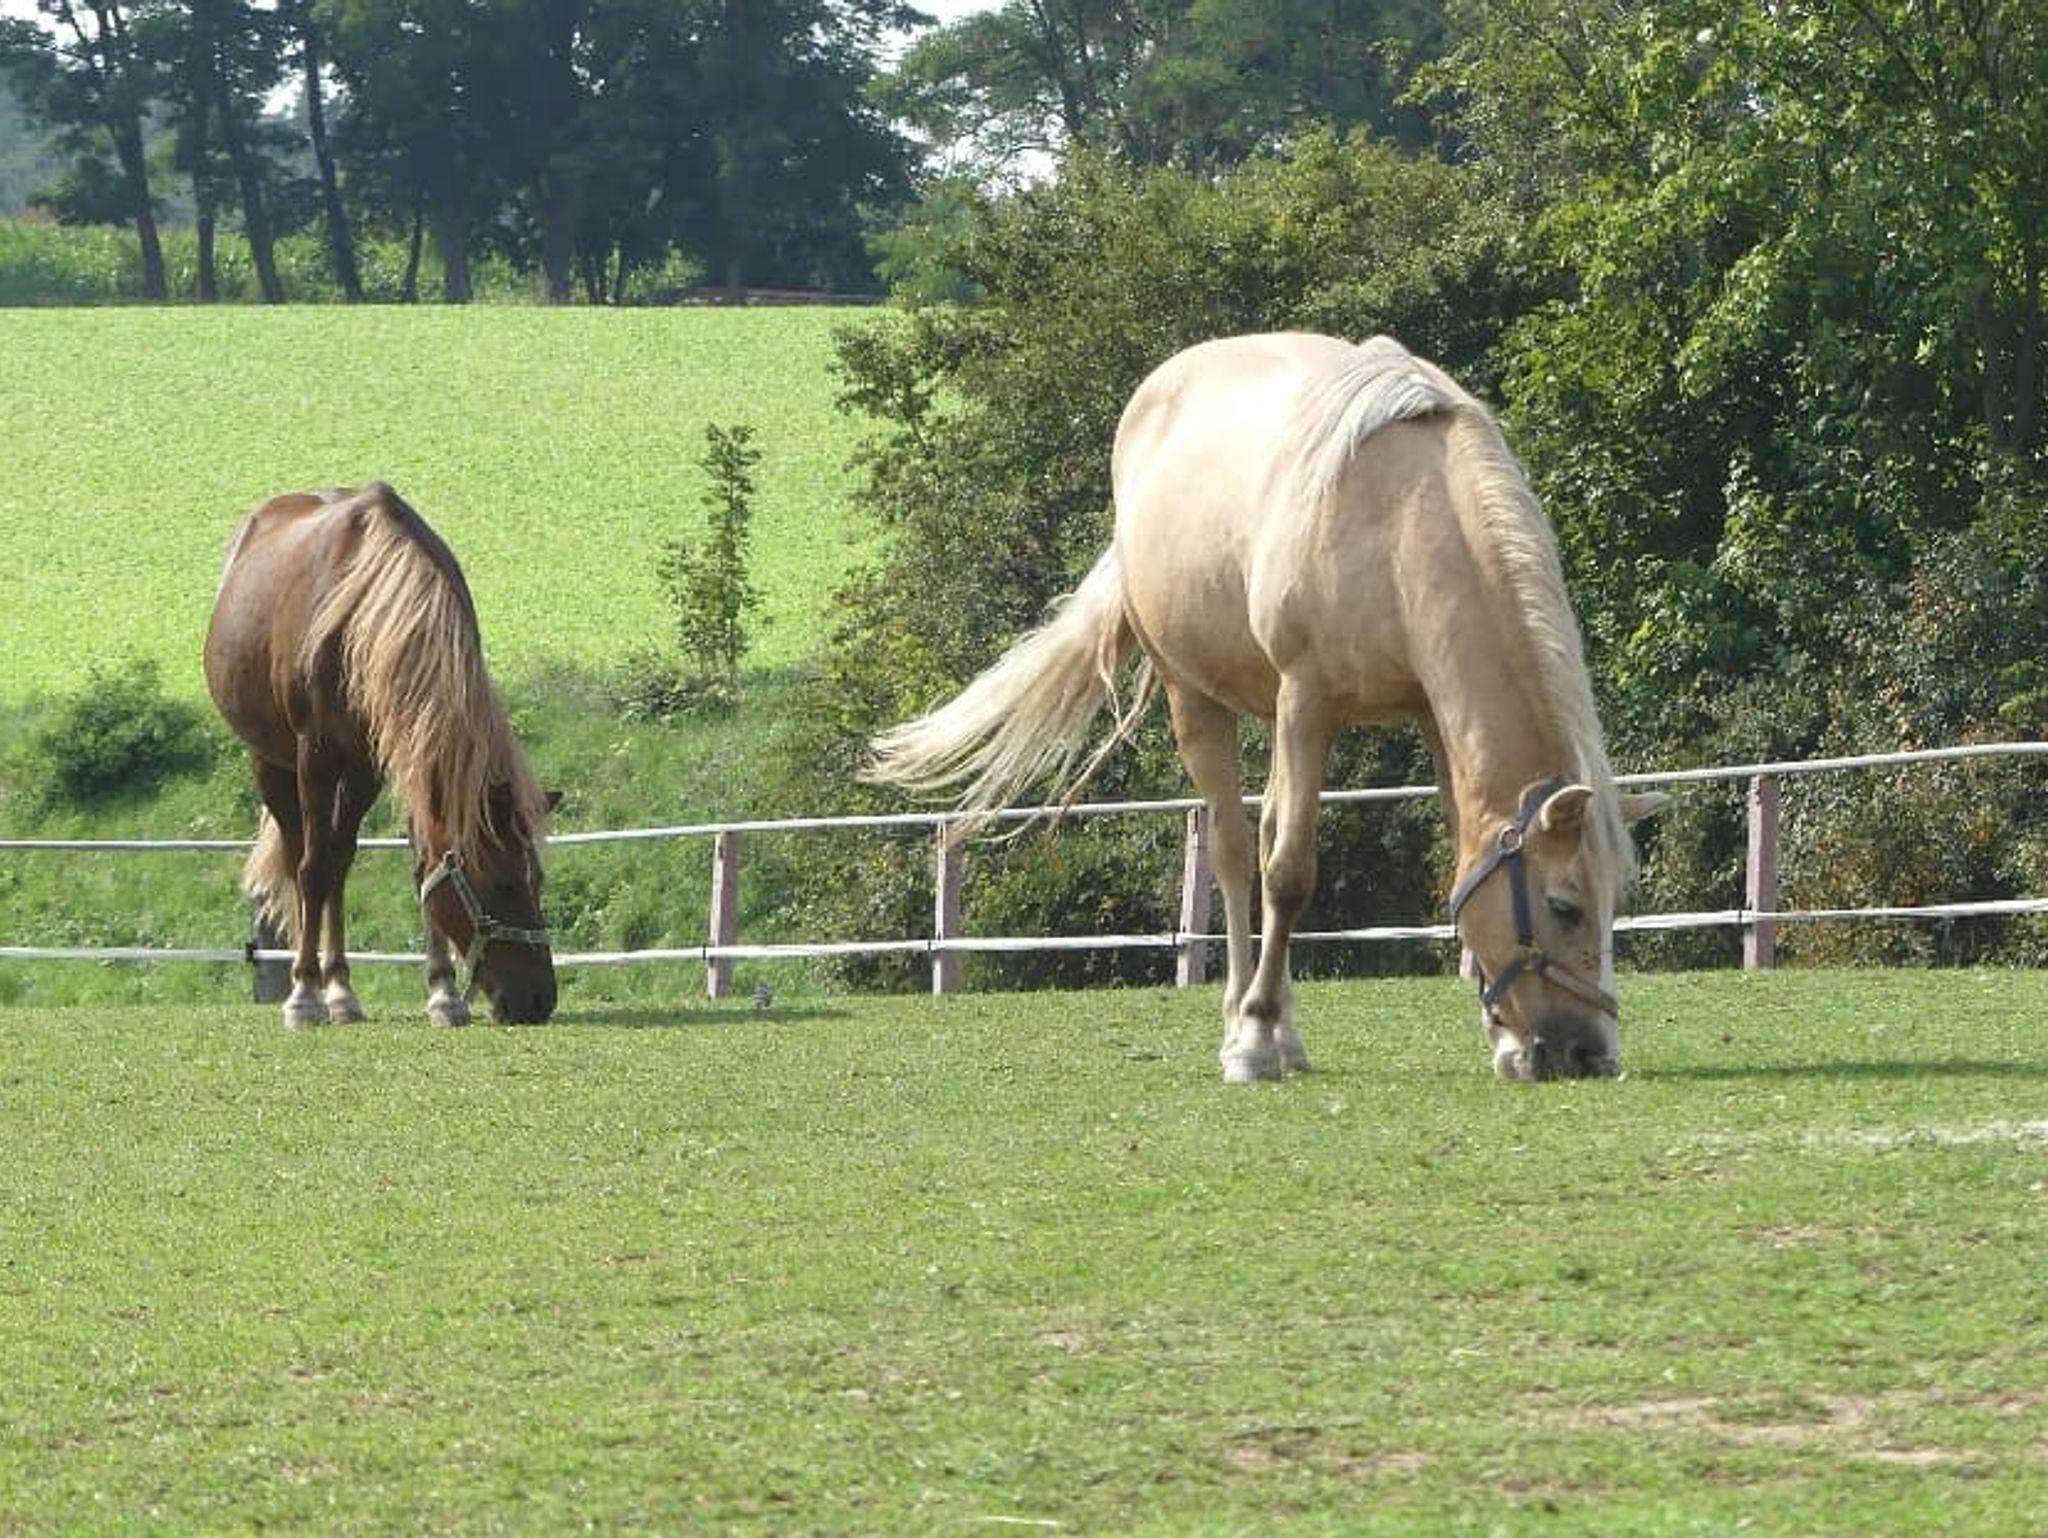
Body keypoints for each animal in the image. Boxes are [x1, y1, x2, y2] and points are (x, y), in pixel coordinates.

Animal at [204, 482, 557, 1028]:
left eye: (537, 879)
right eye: (502, 885)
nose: (540, 1001)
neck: (366, 616)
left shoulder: (389, 760)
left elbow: (417, 868)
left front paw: (443, 993)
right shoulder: (316, 757)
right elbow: (311, 870)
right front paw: (303, 996)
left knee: (339, 860)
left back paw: (340, 990)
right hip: (272, 763)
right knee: (303, 859)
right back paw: (312, 985)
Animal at [868, 333, 1665, 1083]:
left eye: (1613, 904)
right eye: (1565, 907)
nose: (1592, 1055)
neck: (1400, 518)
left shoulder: (1431, 715)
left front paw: (1498, 1039)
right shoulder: (1306, 701)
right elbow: (1287, 874)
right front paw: (1252, 1039)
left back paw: (1285, 1028)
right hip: (1199, 699)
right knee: (1232, 849)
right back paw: (1247, 1024)